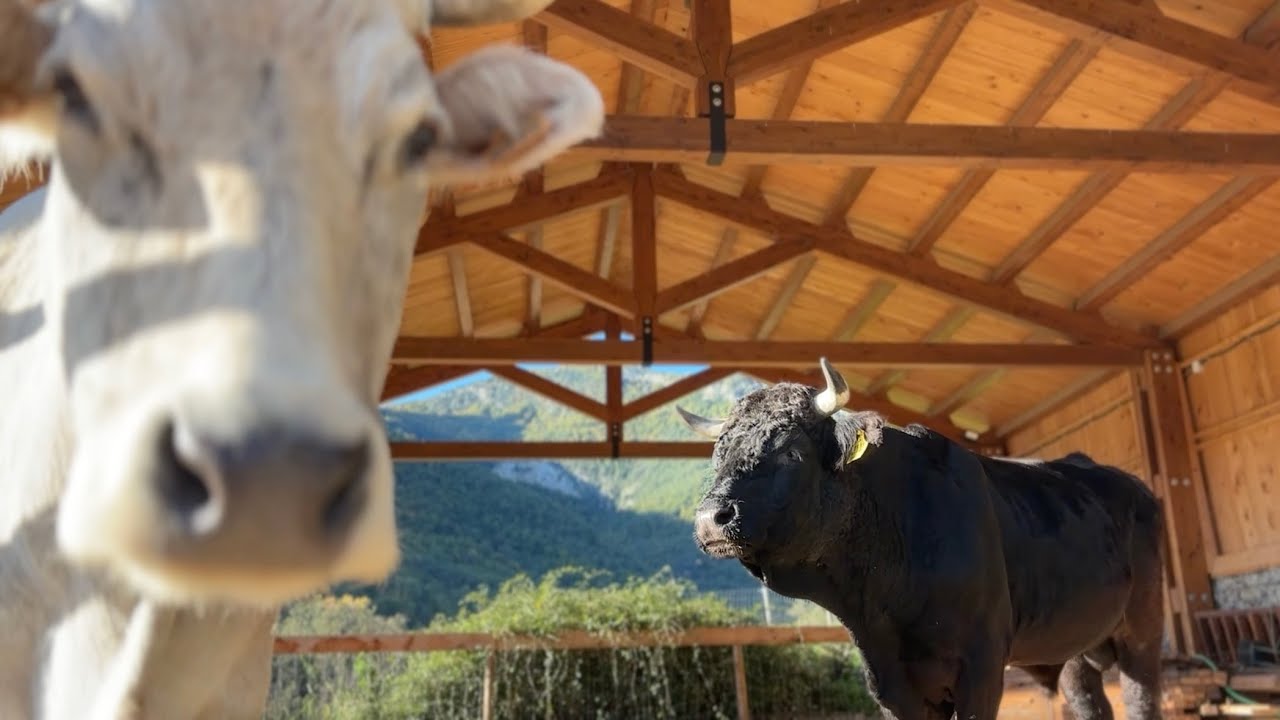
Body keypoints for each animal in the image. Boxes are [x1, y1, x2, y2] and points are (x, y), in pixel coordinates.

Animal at [678, 359, 1164, 720]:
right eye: (718, 456)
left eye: (791, 451)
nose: (710, 519)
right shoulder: (889, 679)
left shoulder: (982, 665)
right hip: (1074, 641)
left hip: (1143, 630)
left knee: (1141, 699)